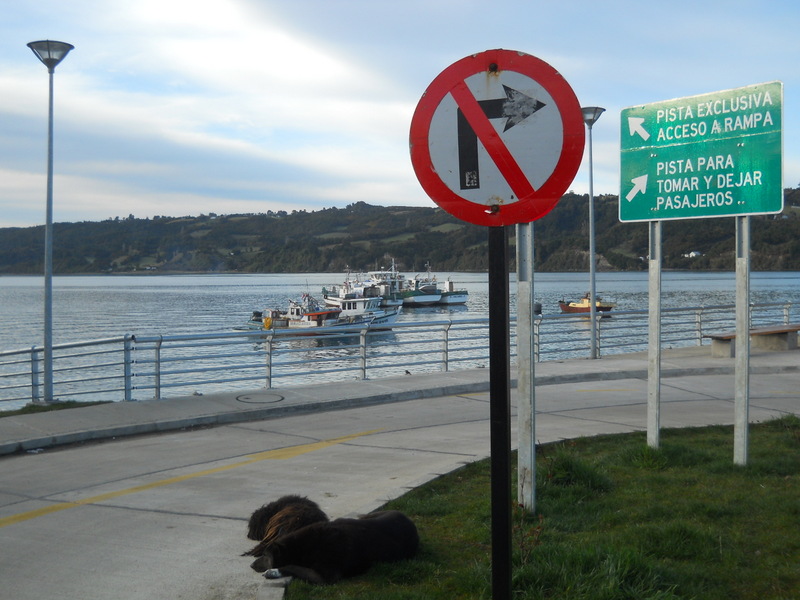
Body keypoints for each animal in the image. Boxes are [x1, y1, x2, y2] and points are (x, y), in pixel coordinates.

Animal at [252, 508, 422, 584]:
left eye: (266, 556)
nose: (251, 565)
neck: (306, 544)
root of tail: (410, 522)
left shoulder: (326, 577)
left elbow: (292, 566)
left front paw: (273, 571)